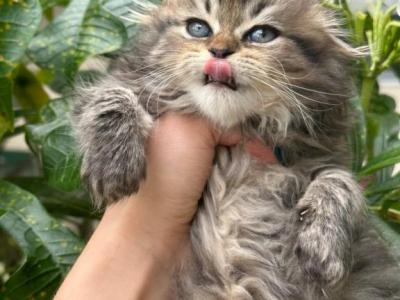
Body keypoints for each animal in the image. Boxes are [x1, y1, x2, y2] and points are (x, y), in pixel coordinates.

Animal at [72, 1, 400, 298]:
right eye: (198, 28)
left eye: (261, 34)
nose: (219, 51)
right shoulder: (115, 87)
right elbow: (110, 97)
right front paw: (113, 164)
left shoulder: (323, 155)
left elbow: (339, 182)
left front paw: (322, 245)